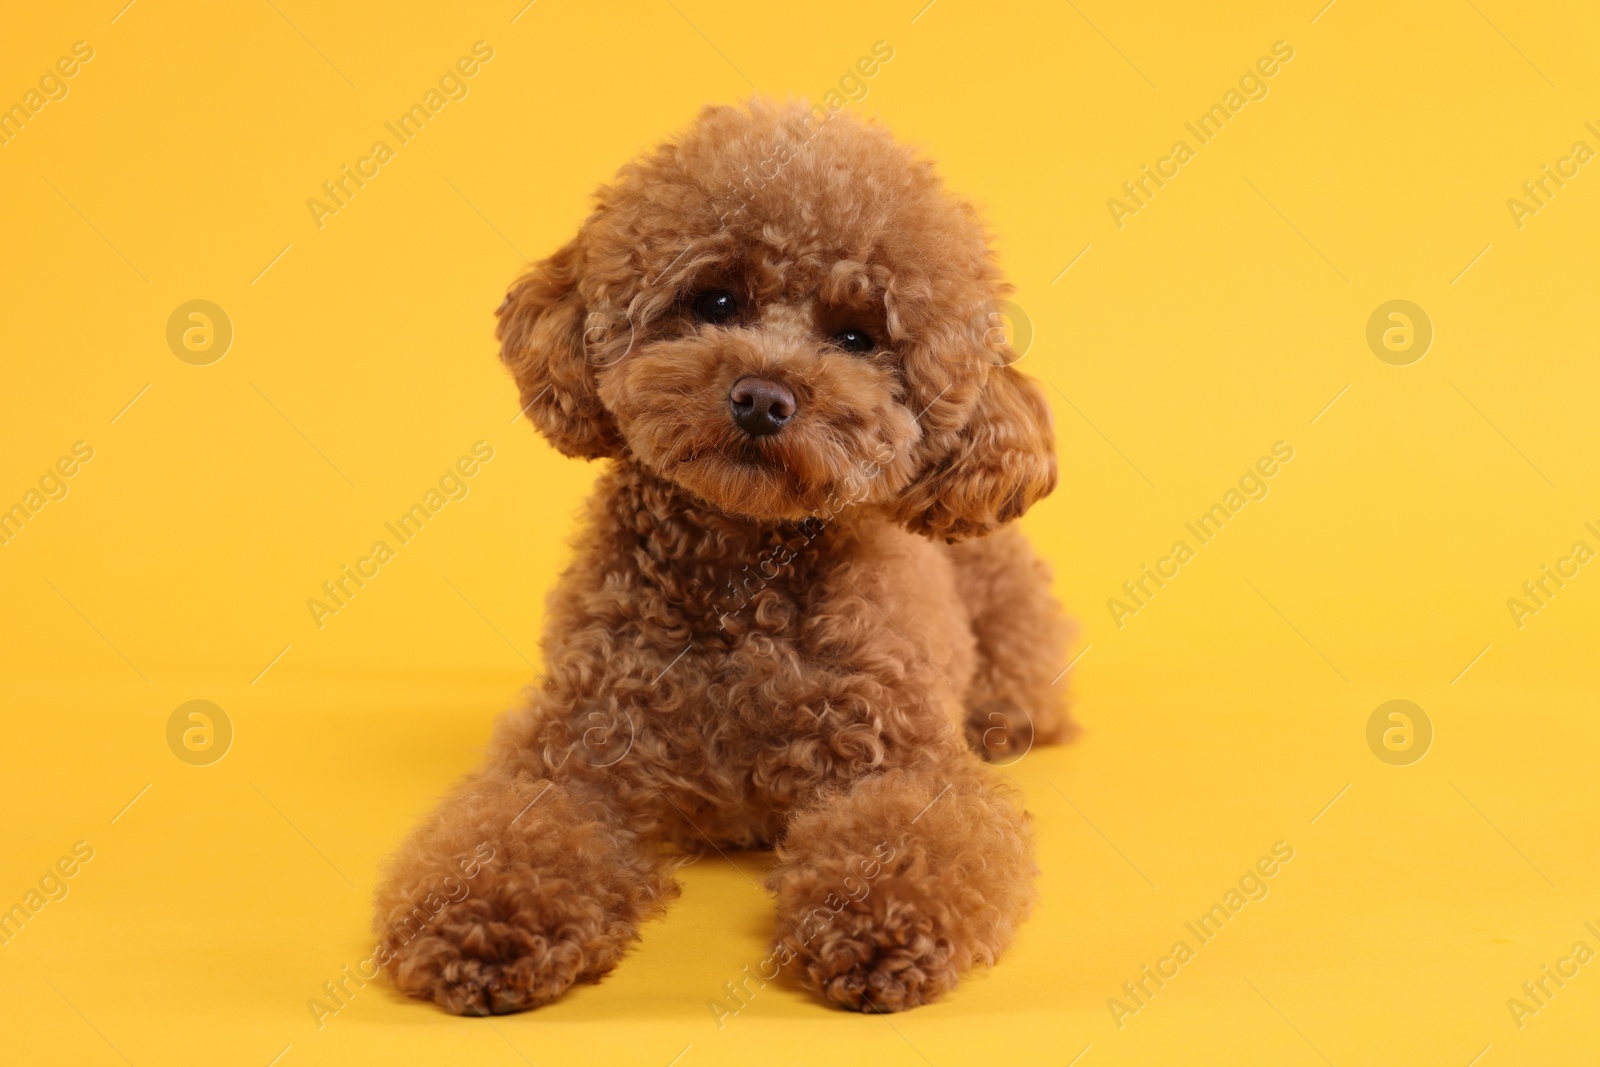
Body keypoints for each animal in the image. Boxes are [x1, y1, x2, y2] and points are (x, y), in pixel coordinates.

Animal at [372, 97, 1075, 1017]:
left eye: (858, 335)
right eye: (715, 297)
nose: (763, 397)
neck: (740, 577)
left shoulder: (902, 761)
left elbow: (909, 837)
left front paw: (878, 929)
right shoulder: (572, 752)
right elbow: (511, 831)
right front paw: (482, 924)